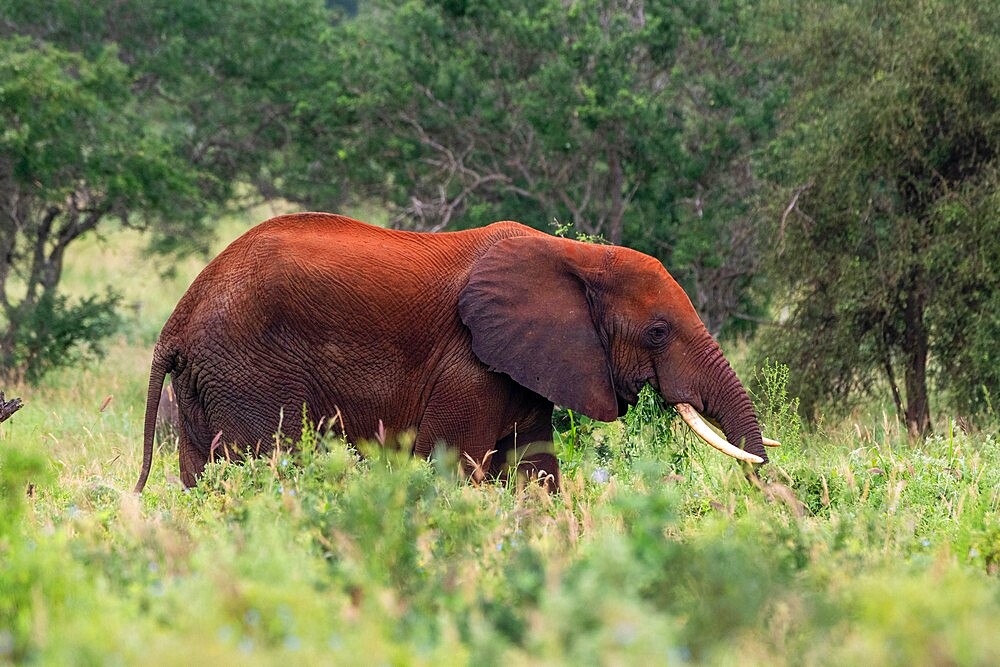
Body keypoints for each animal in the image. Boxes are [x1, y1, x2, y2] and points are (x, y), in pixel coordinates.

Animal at [133, 214, 772, 490]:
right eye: (659, 332)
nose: (766, 484)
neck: (575, 256)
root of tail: (177, 322)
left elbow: (534, 473)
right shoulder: (469, 365)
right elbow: (453, 464)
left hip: (210, 381)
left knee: (199, 476)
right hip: (251, 373)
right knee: (269, 465)